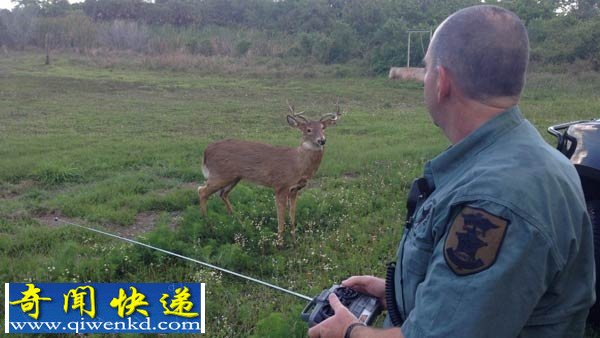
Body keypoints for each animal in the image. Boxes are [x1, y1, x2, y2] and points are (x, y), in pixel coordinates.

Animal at [199, 100, 342, 243]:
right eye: (308, 130)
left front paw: (294, 239)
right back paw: (209, 225)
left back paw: (239, 222)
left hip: (234, 177)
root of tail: (206, 151)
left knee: (222, 193)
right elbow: (281, 219)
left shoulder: (295, 189)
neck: (297, 164)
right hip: (220, 174)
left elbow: (292, 216)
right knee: (202, 191)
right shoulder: (281, 186)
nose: (322, 140)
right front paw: (279, 242)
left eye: (323, 128)